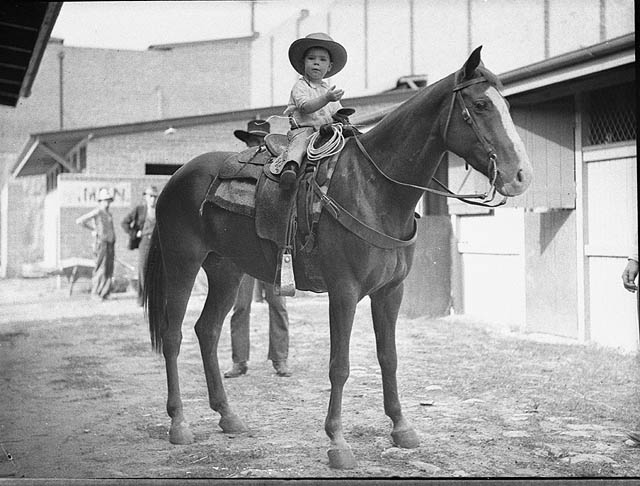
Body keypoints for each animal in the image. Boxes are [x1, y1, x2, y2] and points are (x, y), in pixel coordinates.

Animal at [146, 47, 536, 468]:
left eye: (507, 105)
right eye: (480, 104)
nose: (521, 176)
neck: (375, 189)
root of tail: (176, 178)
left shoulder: (390, 292)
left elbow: (388, 357)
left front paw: (401, 428)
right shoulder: (344, 292)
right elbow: (340, 366)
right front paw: (337, 442)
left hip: (226, 270)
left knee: (207, 330)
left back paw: (228, 416)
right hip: (183, 262)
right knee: (173, 334)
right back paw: (179, 423)